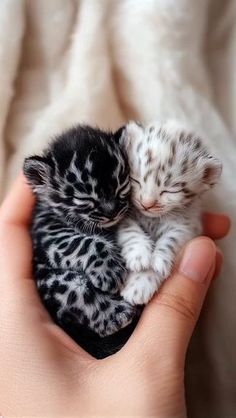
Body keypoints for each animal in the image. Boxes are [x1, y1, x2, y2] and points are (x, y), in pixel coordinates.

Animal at [117, 120, 222, 304]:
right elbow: (130, 231)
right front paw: (139, 255)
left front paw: (143, 281)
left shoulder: (187, 227)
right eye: (135, 180)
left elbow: (171, 240)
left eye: (170, 190)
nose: (147, 204)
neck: (151, 218)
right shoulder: (124, 216)